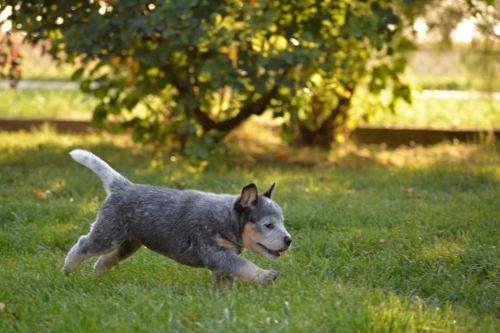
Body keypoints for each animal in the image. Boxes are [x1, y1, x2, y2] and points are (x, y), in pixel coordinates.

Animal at [63, 148, 292, 286]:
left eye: (282, 222)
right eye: (268, 225)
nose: (288, 240)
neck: (226, 218)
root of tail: (123, 186)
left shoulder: (221, 259)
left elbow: (226, 279)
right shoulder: (216, 252)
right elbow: (244, 265)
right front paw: (265, 275)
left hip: (129, 243)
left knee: (106, 260)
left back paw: (98, 278)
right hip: (108, 235)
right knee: (82, 245)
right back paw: (68, 270)